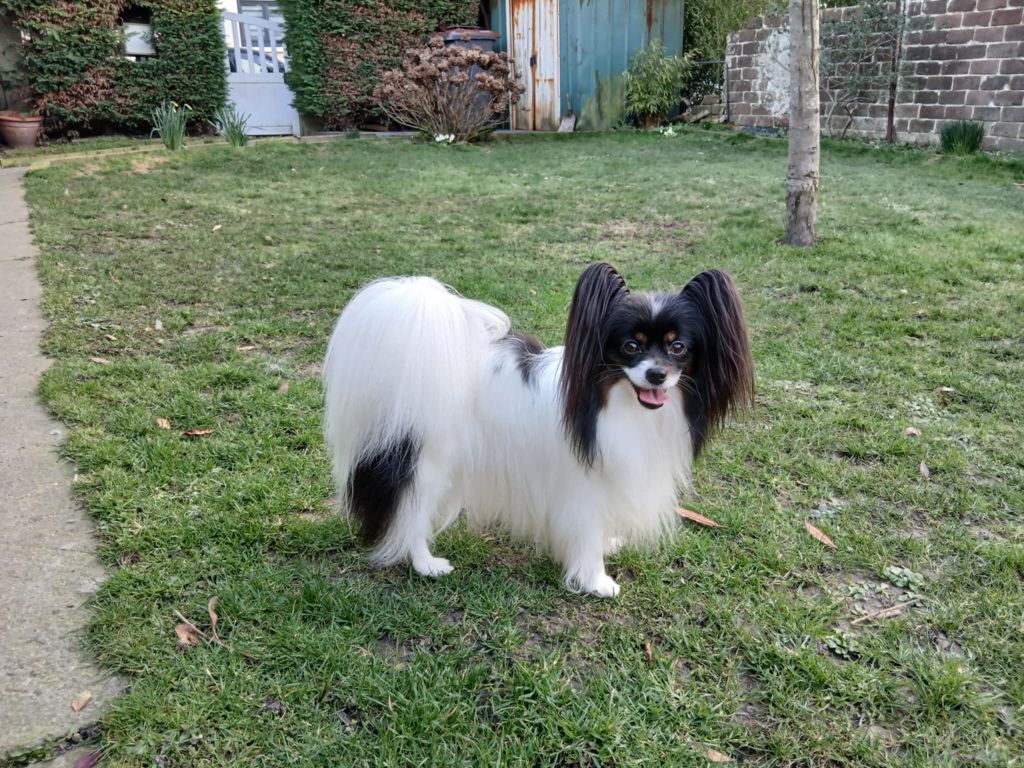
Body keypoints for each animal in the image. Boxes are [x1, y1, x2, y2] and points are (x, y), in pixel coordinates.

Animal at [323, 263, 753, 596]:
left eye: (678, 348)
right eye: (630, 346)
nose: (657, 375)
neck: (615, 403)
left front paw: (607, 545)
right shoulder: (583, 486)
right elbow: (586, 533)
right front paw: (596, 581)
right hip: (429, 463)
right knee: (408, 511)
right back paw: (426, 563)